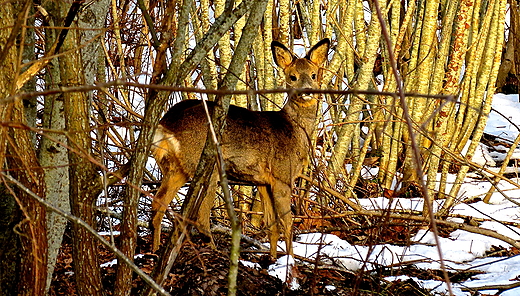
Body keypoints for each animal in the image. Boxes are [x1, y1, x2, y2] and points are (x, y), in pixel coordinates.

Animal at [149, 37, 330, 256]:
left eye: (313, 74)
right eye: (292, 76)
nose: (307, 91)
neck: (294, 130)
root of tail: (165, 124)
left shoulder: (262, 182)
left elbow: (271, 225)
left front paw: (272, 258)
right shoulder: (282, 175)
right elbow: (287, 223)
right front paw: (290, 261)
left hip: (177, 167)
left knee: (157, 203)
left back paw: (155, 250)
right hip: (206, 165)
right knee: (200, 216)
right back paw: (214, 249)